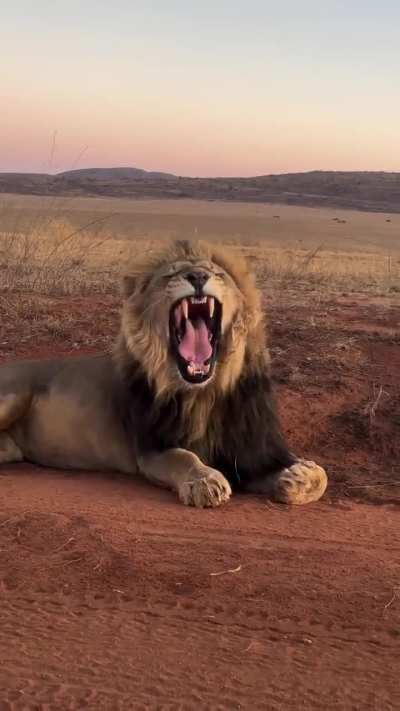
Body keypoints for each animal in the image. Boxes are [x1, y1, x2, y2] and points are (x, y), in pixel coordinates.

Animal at [0, 239, 327, 508]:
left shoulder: (251, 449)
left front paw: (298, 476)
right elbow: (184, 456)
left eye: (217, 273)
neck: (203, 393)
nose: (198, 277)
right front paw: (204, 481)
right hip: (13, 396)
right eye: (172, 274)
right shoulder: (152, 448)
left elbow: (321, 476)